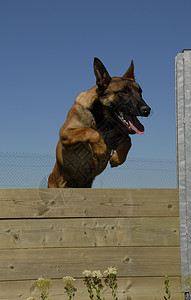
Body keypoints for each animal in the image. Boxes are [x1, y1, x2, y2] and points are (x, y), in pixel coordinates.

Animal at [48, 57, 151, 188]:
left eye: (140, 92)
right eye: (124, 92)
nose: (147, 110)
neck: (101, 119)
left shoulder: (117, 136)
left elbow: (128, 140)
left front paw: (117, 158)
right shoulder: (65, 132)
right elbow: (90, 131)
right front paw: (101, 150)